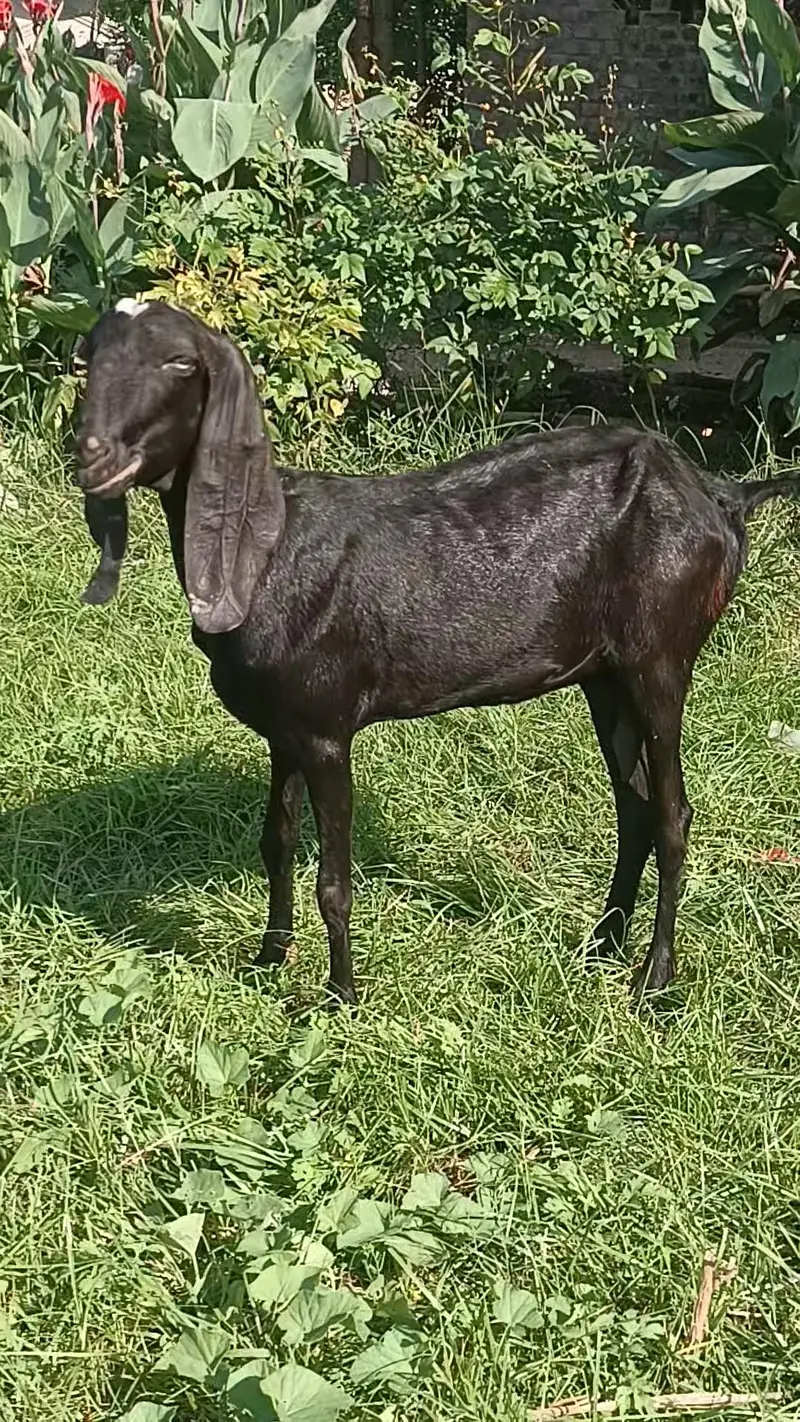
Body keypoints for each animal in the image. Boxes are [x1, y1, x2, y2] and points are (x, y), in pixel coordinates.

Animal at [74, 300, 800, 1006]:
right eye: (89, 353)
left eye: (179, 361)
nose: (91, 454)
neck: (270, 551)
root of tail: (723, 496)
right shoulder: (284, 728)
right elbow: (275, 841)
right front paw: (267, 961)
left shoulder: (326, 730)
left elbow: (333, 880)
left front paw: (340, 998)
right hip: (605, 676)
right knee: (635, 807)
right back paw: (601, 946)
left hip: (660, 660)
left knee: (673, 814)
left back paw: (654, 981)